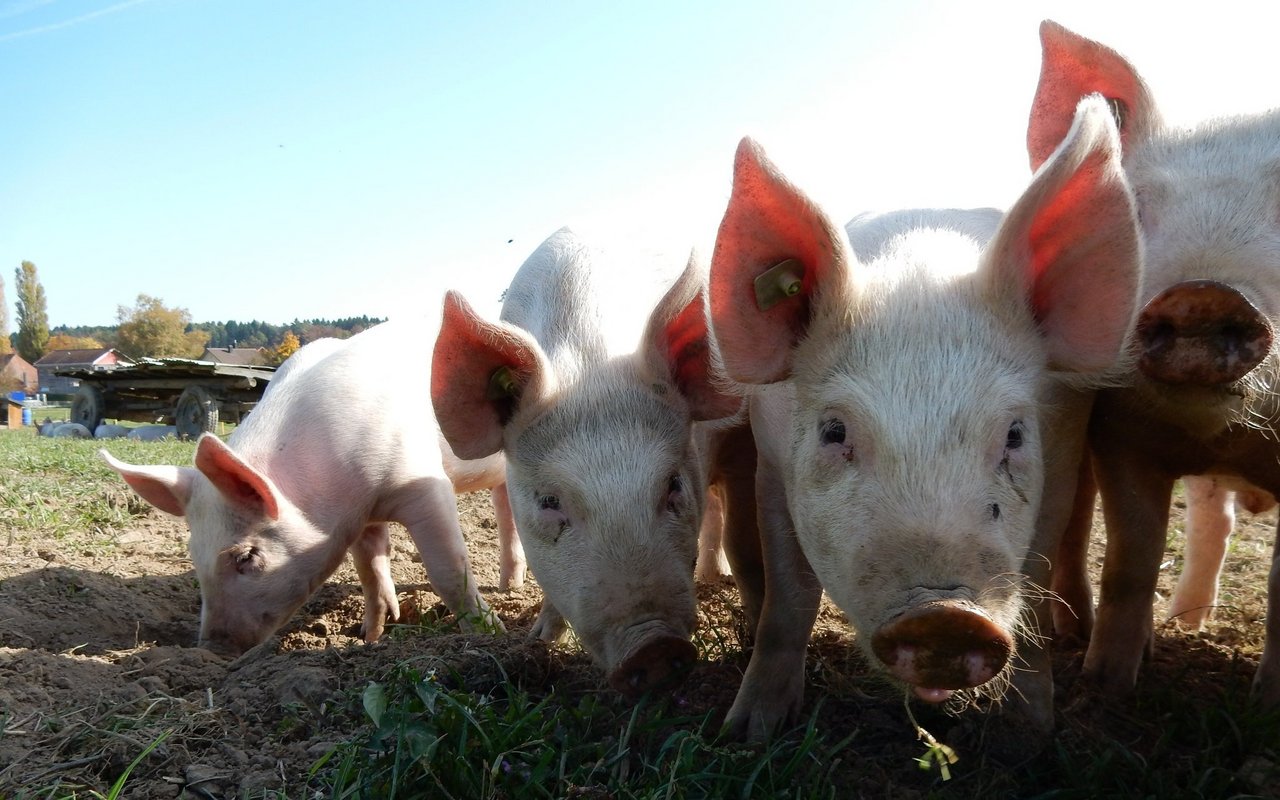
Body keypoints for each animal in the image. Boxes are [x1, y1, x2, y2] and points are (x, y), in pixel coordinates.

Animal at [99, 321, 517, 660]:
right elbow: (370, 570)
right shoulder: (359, 515)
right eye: (192, 554)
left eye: (246, 556)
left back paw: (509, 596)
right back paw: (510, 586)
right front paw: (370, 638)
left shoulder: (423, 483)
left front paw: (491, 634)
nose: (212, 650)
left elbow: (448, 569)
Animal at [711, 93, 1141, 737]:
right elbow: (788, 599)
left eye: (1014, 433)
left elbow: (1036, 580)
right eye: (834, 430)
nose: (944, 616)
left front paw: (1030, 733)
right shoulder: (770, 456)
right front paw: (747, 732)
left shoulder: (1062, 446)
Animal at [1024, 18, 1280, 706]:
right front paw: (1105, 686)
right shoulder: (1122, 438)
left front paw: (1266, 704)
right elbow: (1131, 560)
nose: (1203, 293)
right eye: (1134, 208)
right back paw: (1171, 627)